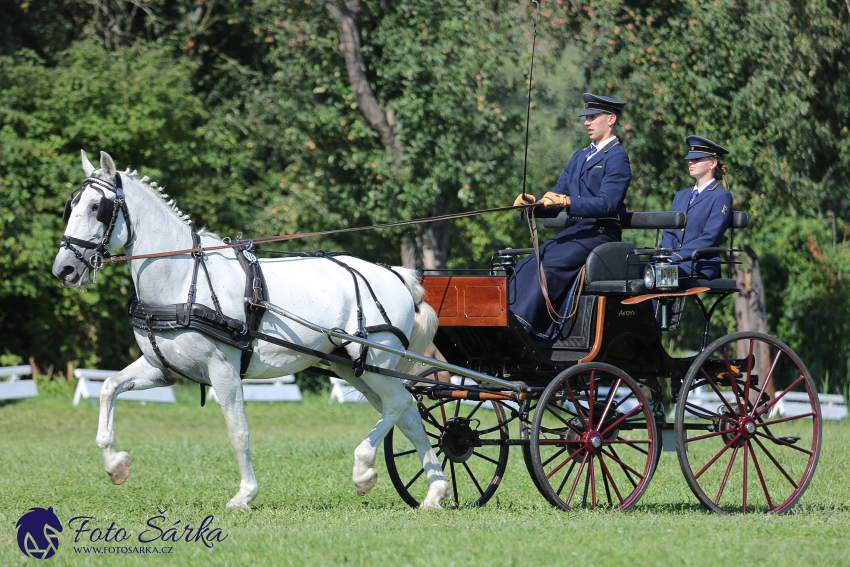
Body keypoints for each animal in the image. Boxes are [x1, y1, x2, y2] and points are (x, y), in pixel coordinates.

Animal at [53, 150, 450, 510]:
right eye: (72, 206)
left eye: (97, 207)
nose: (64, 269)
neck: (183, 280)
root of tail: (399, 275)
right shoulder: (161, 368)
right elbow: (108, 388)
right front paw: (115, 464)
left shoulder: (223, 370)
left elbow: (238, 433)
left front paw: (244, 495)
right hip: (354, 367)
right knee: (408, 415)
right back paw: (434, 492)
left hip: (375, 362)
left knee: (400, 403)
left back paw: (364, 468)